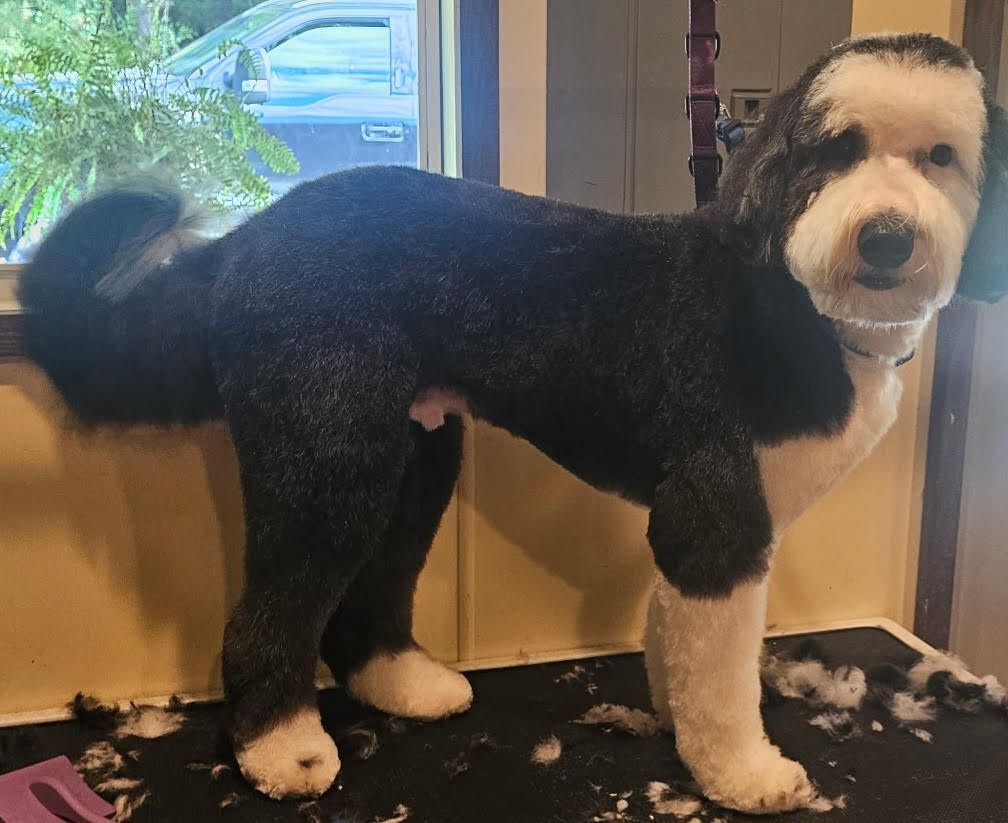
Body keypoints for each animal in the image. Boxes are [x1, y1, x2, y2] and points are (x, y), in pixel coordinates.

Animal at [16, 32, 1008, 814]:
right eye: (837, 149)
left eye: (941, 157)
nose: (886, 236)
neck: (788, 295)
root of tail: (248, 240)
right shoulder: (716, 520)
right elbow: (724, 678)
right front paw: (742, 772)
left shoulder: (701, 533)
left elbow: (680, 642)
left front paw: (677, 722)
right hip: (326, 447)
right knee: (272, 610)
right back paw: (281, 750)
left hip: (414, 450)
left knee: (365, 593)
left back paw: (404, 683)